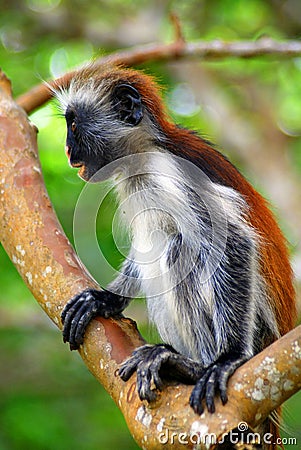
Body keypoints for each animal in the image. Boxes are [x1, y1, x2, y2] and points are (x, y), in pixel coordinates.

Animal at [56, 66, 296, 440]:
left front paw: (228, 358)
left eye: (75, 125)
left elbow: (235, 241)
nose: (67, 150)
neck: (147, 149)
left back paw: (192, 366)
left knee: (180, 249)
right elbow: (144, 244)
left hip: (260, 332)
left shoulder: (168, 173)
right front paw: (106, 299)